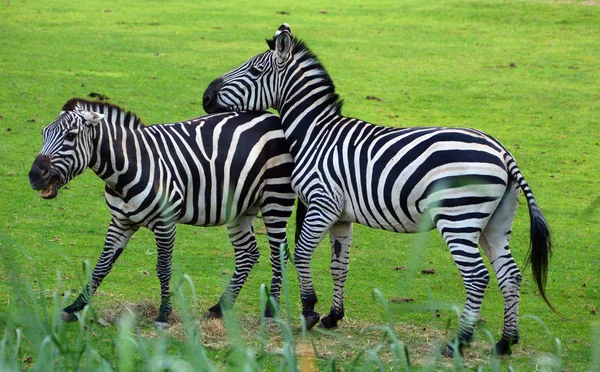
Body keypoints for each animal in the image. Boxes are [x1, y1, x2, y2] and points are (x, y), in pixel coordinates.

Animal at [27, 97, 296, 326]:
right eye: (43, 133)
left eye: (71, 136)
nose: (34, 176)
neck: (127, 168)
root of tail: (272, 117)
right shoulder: (120, 221)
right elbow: (102, 265)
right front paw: (75, 307)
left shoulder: (165, 223)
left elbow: (163, 268)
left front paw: (164, 314)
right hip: (241, 207)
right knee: (248, 253)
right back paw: (220, 307)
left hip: (276, 198)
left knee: (278, 254)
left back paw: (270, 312)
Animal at [200, 24, 552, 356]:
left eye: (255, 71)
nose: (205, 97)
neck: (315, 133)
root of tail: (503, 152)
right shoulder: (341, 215)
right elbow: (339, 266)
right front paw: (332, 317)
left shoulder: (322, 203)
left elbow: (301, 253)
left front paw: (309, 311)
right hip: (495, 221)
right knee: (509, 274)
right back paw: (505, 342)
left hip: (459, 218)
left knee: (477, 276)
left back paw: (458, 342)